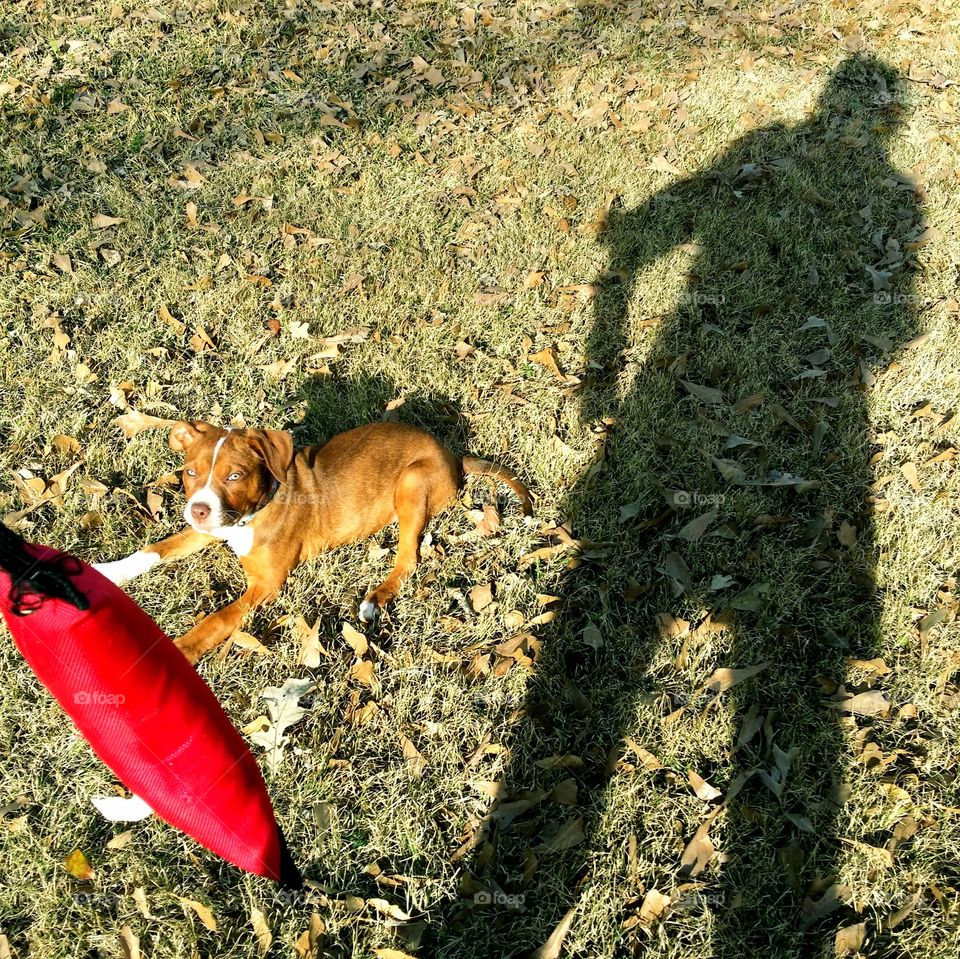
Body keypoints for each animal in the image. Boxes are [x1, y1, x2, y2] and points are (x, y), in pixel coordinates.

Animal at [95, 420, 532, 660]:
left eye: (235, 476)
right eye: (189, 473)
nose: (197, 510)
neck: (253, 512)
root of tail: (453, 455)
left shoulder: (266, 585)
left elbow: (218, 617)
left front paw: (179, 651)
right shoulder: (210, 528)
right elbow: (155, 549)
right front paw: (108, 572)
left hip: (410, 483)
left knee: (409, 559)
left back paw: (375, 599)